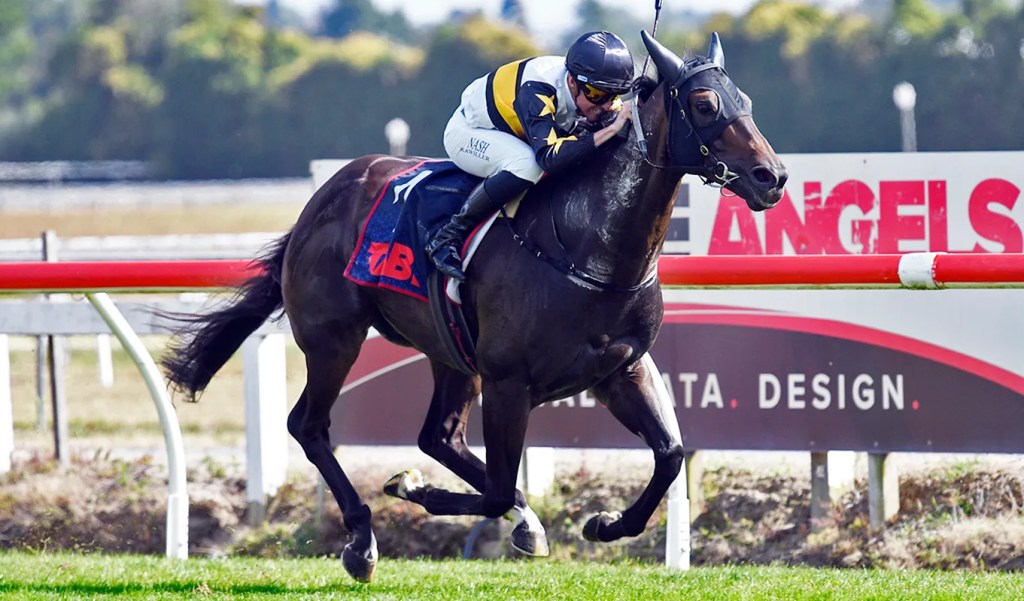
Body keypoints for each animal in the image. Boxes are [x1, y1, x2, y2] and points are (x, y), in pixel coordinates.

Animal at [162, 31, 786, 582]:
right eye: (704, 104)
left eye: (748, 103)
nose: (772, 177)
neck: (588, 248)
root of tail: (323, 198)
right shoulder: (510, 381)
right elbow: (493, 490)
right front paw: (412, 488)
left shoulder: (621, 369)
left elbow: (671, 453)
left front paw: (604, 524)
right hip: (333, 337)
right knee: (310, 426)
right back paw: (362, 541)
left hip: (450, 351)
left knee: (438, 436)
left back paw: (515, 519)